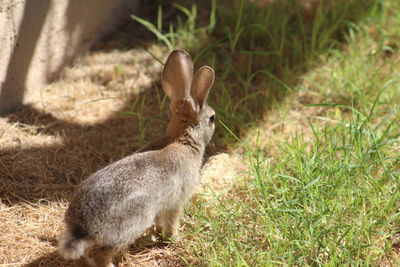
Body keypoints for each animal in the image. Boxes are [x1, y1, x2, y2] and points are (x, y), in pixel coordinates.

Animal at [57, 49, 216, 266]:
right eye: (212, 118)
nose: (215, 120)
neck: (182, 139)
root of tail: (81, 228)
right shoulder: (176, 202)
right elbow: (172, 222)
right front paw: (174, 239)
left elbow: (160, 223)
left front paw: (159, 234)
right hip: (130, 225)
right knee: (102, 254)